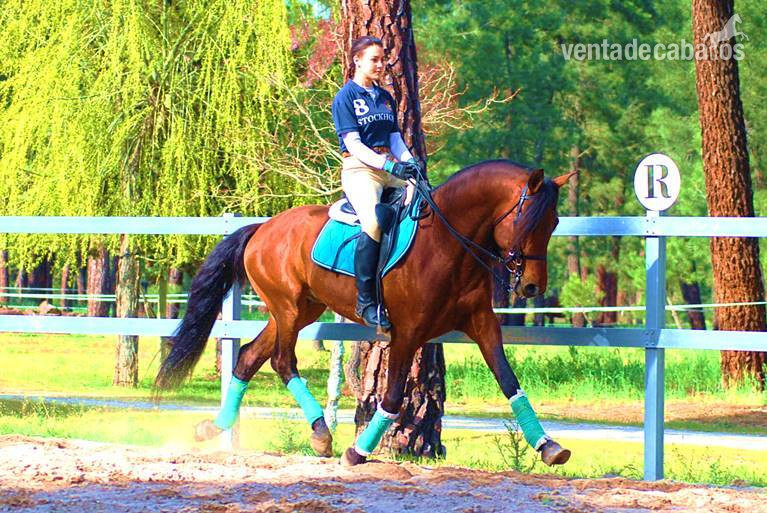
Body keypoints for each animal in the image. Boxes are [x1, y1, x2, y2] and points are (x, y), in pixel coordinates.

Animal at [155, 159, 575, 466]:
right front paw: (358, 451)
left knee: (247, 358)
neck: (446, 244)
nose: (532, 287)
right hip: (288, 309)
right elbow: (392, 396)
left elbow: (509, 381)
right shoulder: (408, 332)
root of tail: (263, 227)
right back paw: (321, 435)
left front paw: (548, 446)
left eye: (553, 222)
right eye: (527, 221)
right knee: (282, 361)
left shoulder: (482, 324)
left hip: (298, 310)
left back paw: (214, 428)